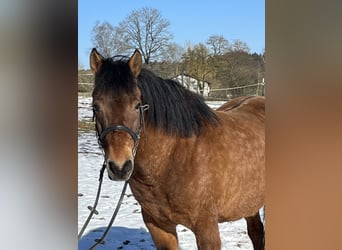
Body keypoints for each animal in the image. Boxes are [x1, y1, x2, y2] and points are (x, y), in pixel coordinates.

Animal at [89, 48, 264, 250]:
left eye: (137, 104)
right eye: (95, 106)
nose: (120, 167)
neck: (173, 156)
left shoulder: (207, 228)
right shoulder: (159, 226)